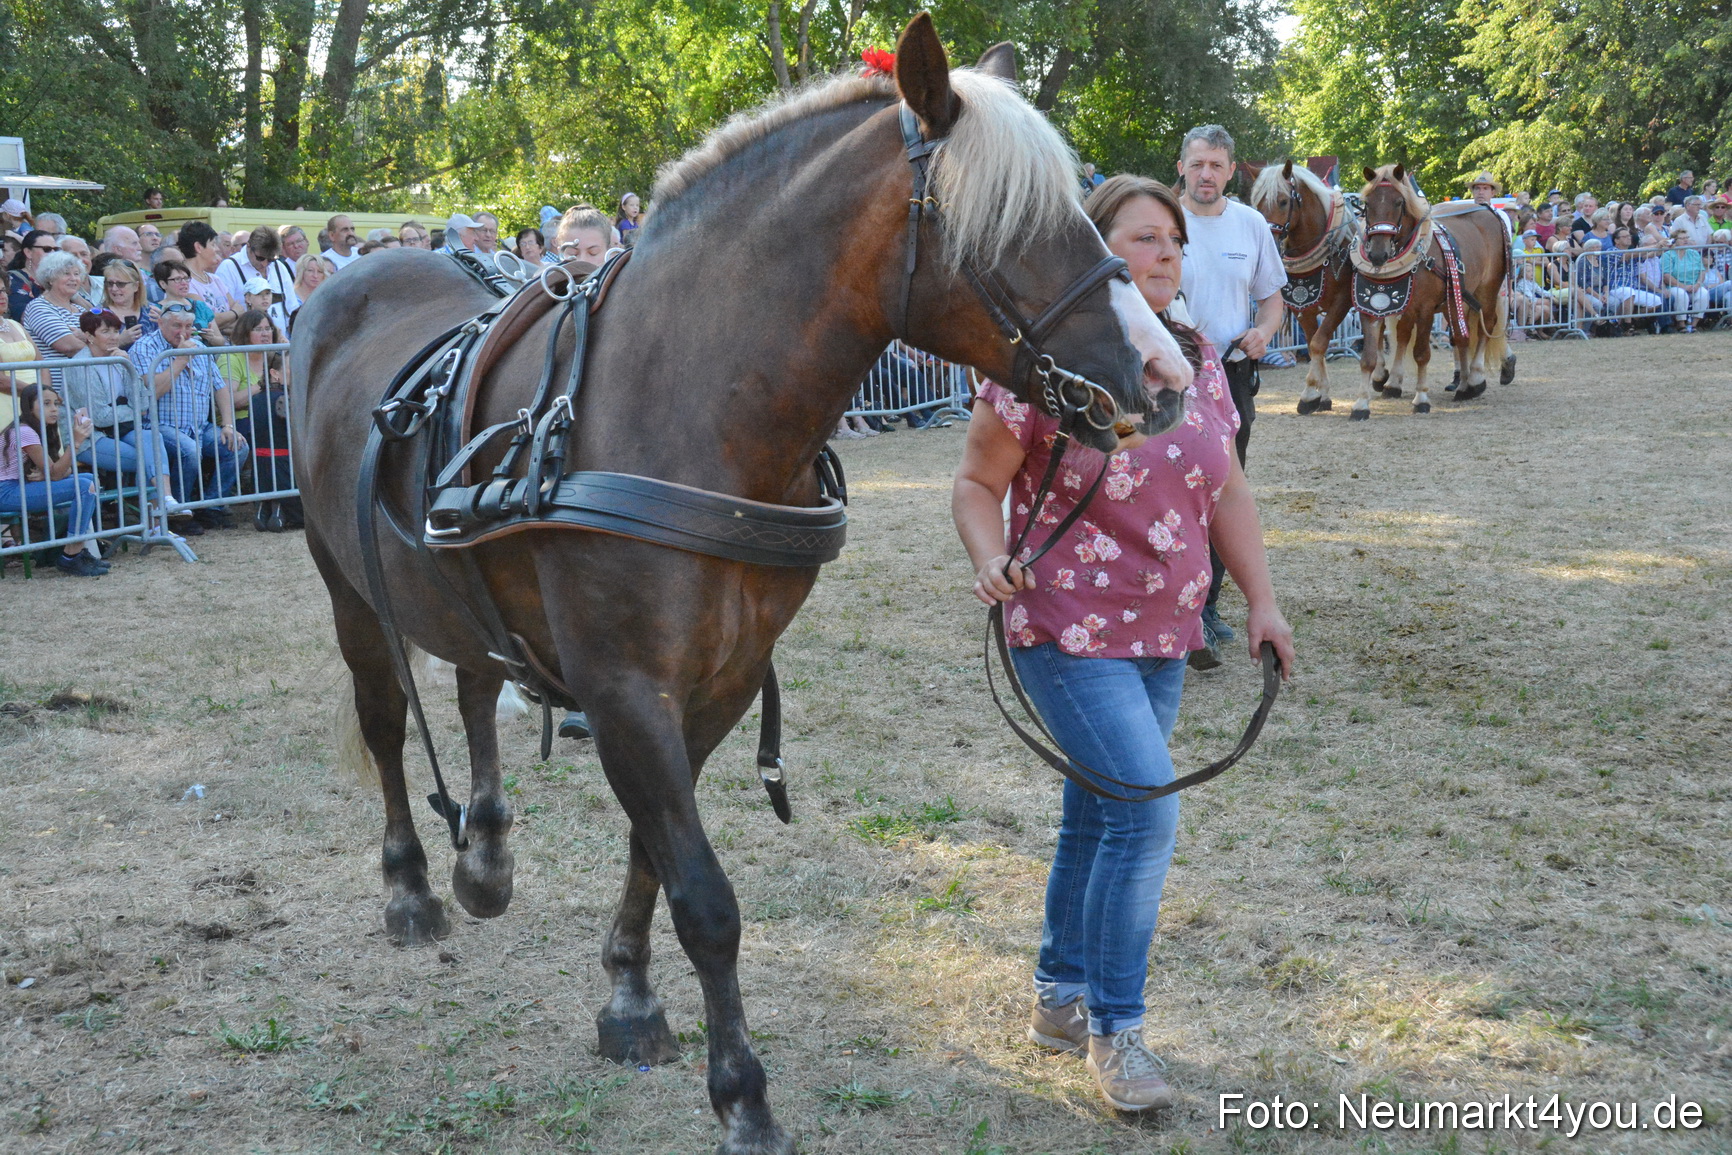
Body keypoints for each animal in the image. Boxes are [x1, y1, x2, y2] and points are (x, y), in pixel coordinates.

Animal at [289, 15, 1191, 1154]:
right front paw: (743, 1095)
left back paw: (484, 856)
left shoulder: (717, 682)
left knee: (472, 679)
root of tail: (361, 273)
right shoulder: (625, 687)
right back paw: (411, 886)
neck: (691, 404)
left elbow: (652, 851)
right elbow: (706, 899)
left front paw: (628, 994)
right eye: (1021, 223)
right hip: (347, 587)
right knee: (383, 718)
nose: (1166, 376)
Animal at [1242, 159, 1384, 415]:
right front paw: (1318, 394)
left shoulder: (1342, 301)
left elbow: (1319, 342)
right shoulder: (1302, 305)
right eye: (1255, 204)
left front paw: (1311, 393)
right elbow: (1313, 344)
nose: (1267, 243)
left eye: (1283, 201)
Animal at [1353, 164, 1510, 417]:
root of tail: (1488, 210)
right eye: (1367, 203)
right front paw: (1362, 403)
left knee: (1486, 324)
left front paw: (1421, 399)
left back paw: (1475, 378)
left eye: (1399, 202)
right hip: (1455, 300)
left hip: (1487, 289)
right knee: (1460, 336)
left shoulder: (1425, 309)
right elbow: (1370, 355)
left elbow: (1421, 353)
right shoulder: (1373, 306)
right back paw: (1463, 386)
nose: (1378, 254)